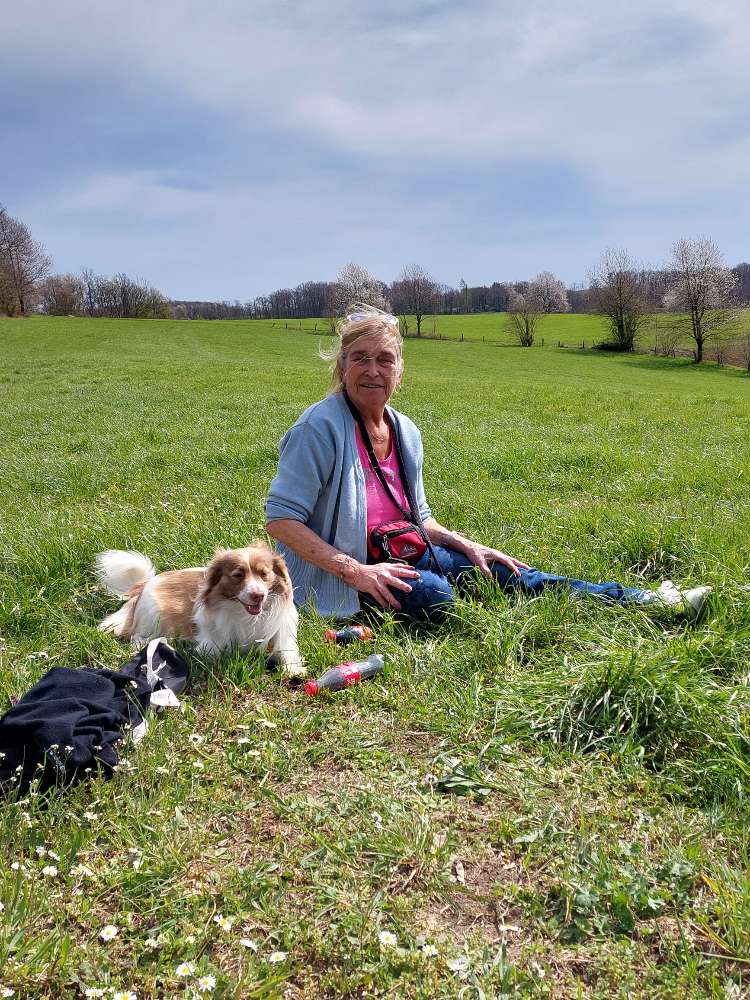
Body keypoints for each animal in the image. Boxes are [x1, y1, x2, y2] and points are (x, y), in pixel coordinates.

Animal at [94, 548, 306, 680]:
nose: (258, 595)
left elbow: (288, 655)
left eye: (264, 574)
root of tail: (145, 583)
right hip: (156, 616)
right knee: (138, 637)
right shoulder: (211, 645)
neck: (247, 617)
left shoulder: (283, 639)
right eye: (238, 575)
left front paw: (294, 671)